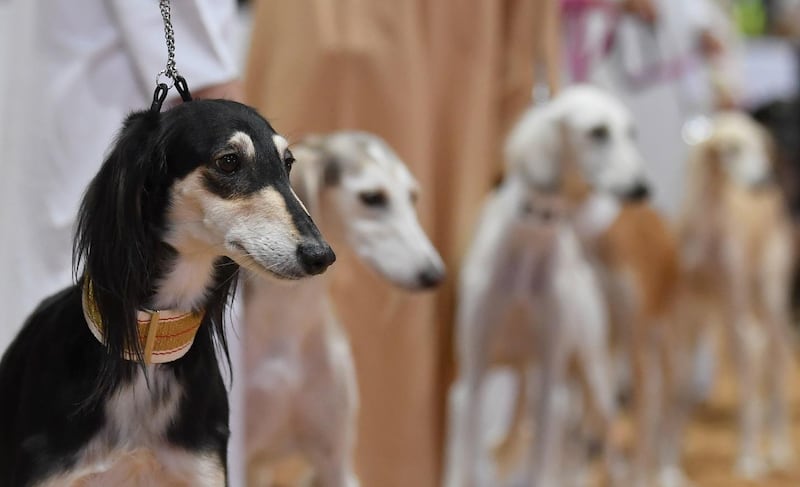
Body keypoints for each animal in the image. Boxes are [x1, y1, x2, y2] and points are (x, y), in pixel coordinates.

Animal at [440, 85, 652, 487]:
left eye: (632, 132)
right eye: (598, 132)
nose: (642, 188)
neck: (532, 236)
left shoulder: (552, 378)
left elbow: (542, 465)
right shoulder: (470, 378)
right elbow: (464, 463)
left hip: (589, 372)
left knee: (606, 439)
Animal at [680, 111, 796, 480]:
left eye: (762, 144)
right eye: (731, 148)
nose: (764, 180)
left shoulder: (738, 310)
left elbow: (749, 389)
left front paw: (749, 458)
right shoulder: (692, 312)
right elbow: (680, 383)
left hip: (767, 300)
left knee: (776, 358)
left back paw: (777, 448)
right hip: (727, 315)